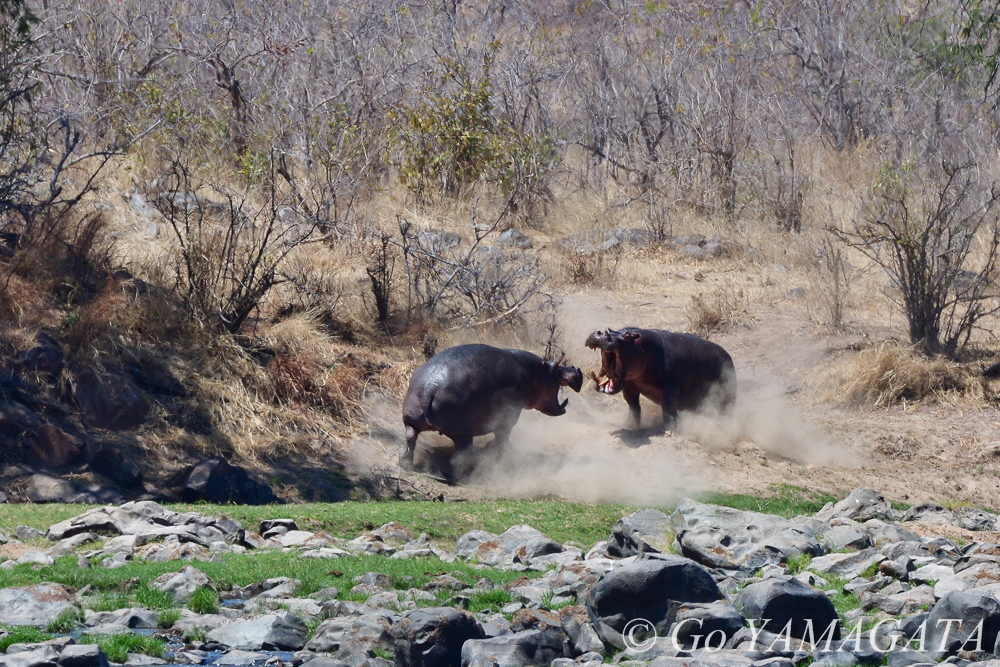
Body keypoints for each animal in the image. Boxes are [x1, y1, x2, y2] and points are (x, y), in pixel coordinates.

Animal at [400, 344, 584, 480]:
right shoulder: (510, 415)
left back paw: (405, 463)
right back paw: (468, 472)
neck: (536, 372)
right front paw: (509, 453)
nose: (576, 368)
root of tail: (428, 389)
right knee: (462, 454)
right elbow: (503, 436)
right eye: (556, 367)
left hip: (411, 421)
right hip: (462, 433)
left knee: (410, 440)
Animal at [584, 328, 736, 434]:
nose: (601, 333)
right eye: (609, 329)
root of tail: (728, 356)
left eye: (627, 336)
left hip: (726, 397)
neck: (644, 348)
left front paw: (671, 429)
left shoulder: (670, 386)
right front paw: (630, 426)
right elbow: (634, 407)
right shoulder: (629, 385)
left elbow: (667, 407)